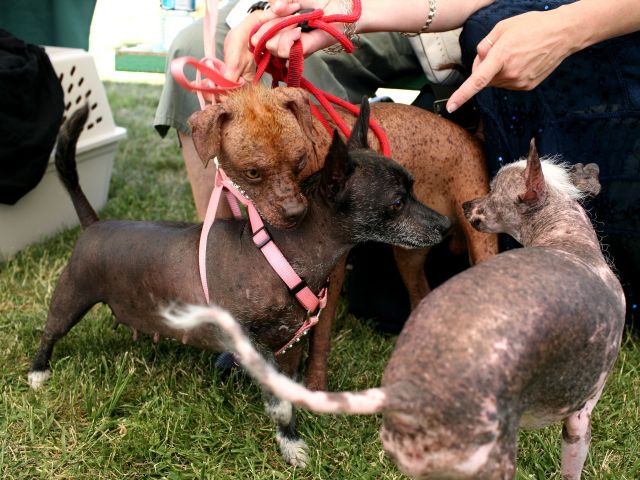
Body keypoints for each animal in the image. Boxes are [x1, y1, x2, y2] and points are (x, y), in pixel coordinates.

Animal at [28, 100, 450, 464]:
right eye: (397, 203)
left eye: (414, 188)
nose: (447, 225)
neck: (284, 251)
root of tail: (94, 225)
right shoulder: (252, 345)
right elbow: (279, 405)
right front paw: (291, 444)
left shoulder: (291, 342)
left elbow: (289, 386)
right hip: (70, 298)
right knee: (50, 332)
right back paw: (37, 370)